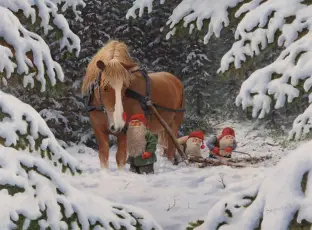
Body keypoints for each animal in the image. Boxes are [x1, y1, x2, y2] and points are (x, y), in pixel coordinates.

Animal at [81, 40, 186, 169]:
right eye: (105, 87)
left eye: (125, 88)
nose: (117, 125)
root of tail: (176, 80)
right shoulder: (99, 130)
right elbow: (103, 156)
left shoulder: (126, 131)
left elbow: (120, 157)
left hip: (174, 124)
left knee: (171, 147)